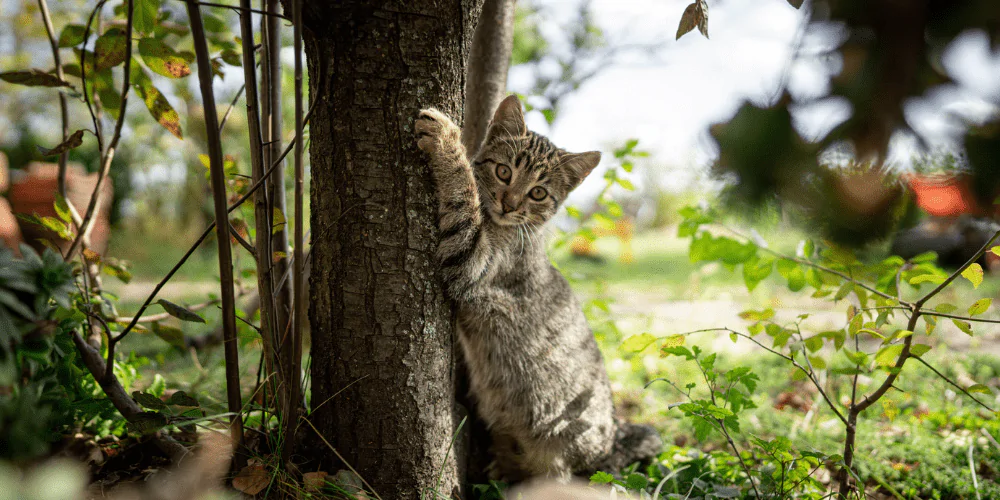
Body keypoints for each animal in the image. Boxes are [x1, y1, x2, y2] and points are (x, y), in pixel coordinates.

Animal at [414, 94, 664, 480]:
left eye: (538, 193)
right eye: (504, 171)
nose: (510, 204)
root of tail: (609, 450)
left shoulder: (472, 265)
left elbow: (463, 195)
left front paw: (447, 142)